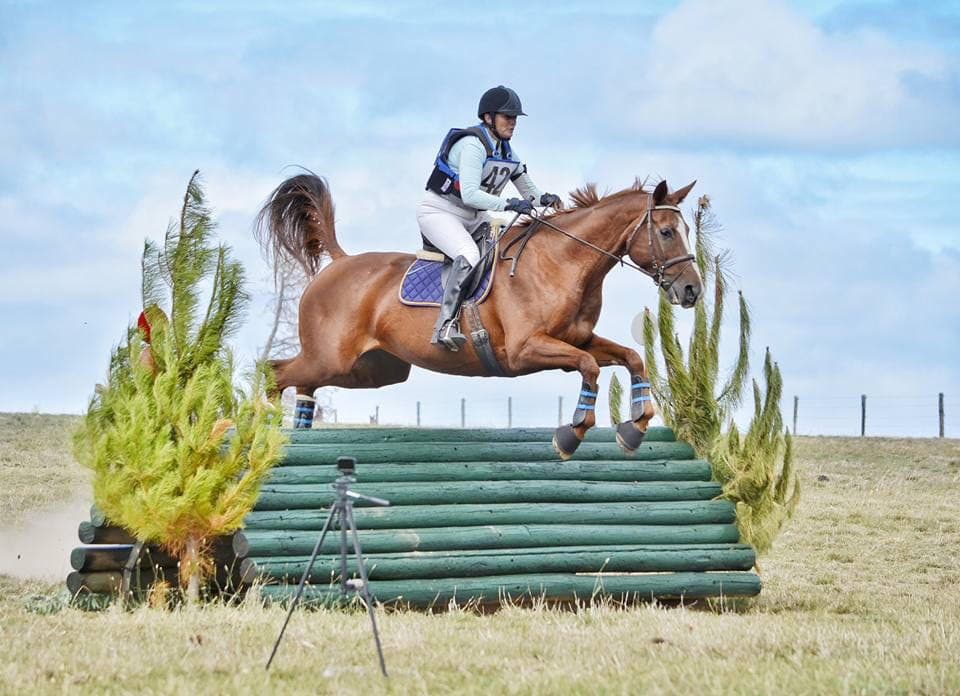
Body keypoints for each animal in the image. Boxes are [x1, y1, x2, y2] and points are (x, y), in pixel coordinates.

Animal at [255, 174, 703, 458]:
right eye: (666, 232)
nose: (692, 290)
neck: (563, 263)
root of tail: (339, 262)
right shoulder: (526, 350)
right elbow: (590, 367)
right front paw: (570, 434)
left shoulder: (577, 339)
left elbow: (631, 357)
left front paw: (634, 428)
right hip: (332, 358)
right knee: (274, 372)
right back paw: (265, 434)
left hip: (371, 370)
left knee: (302, 384)